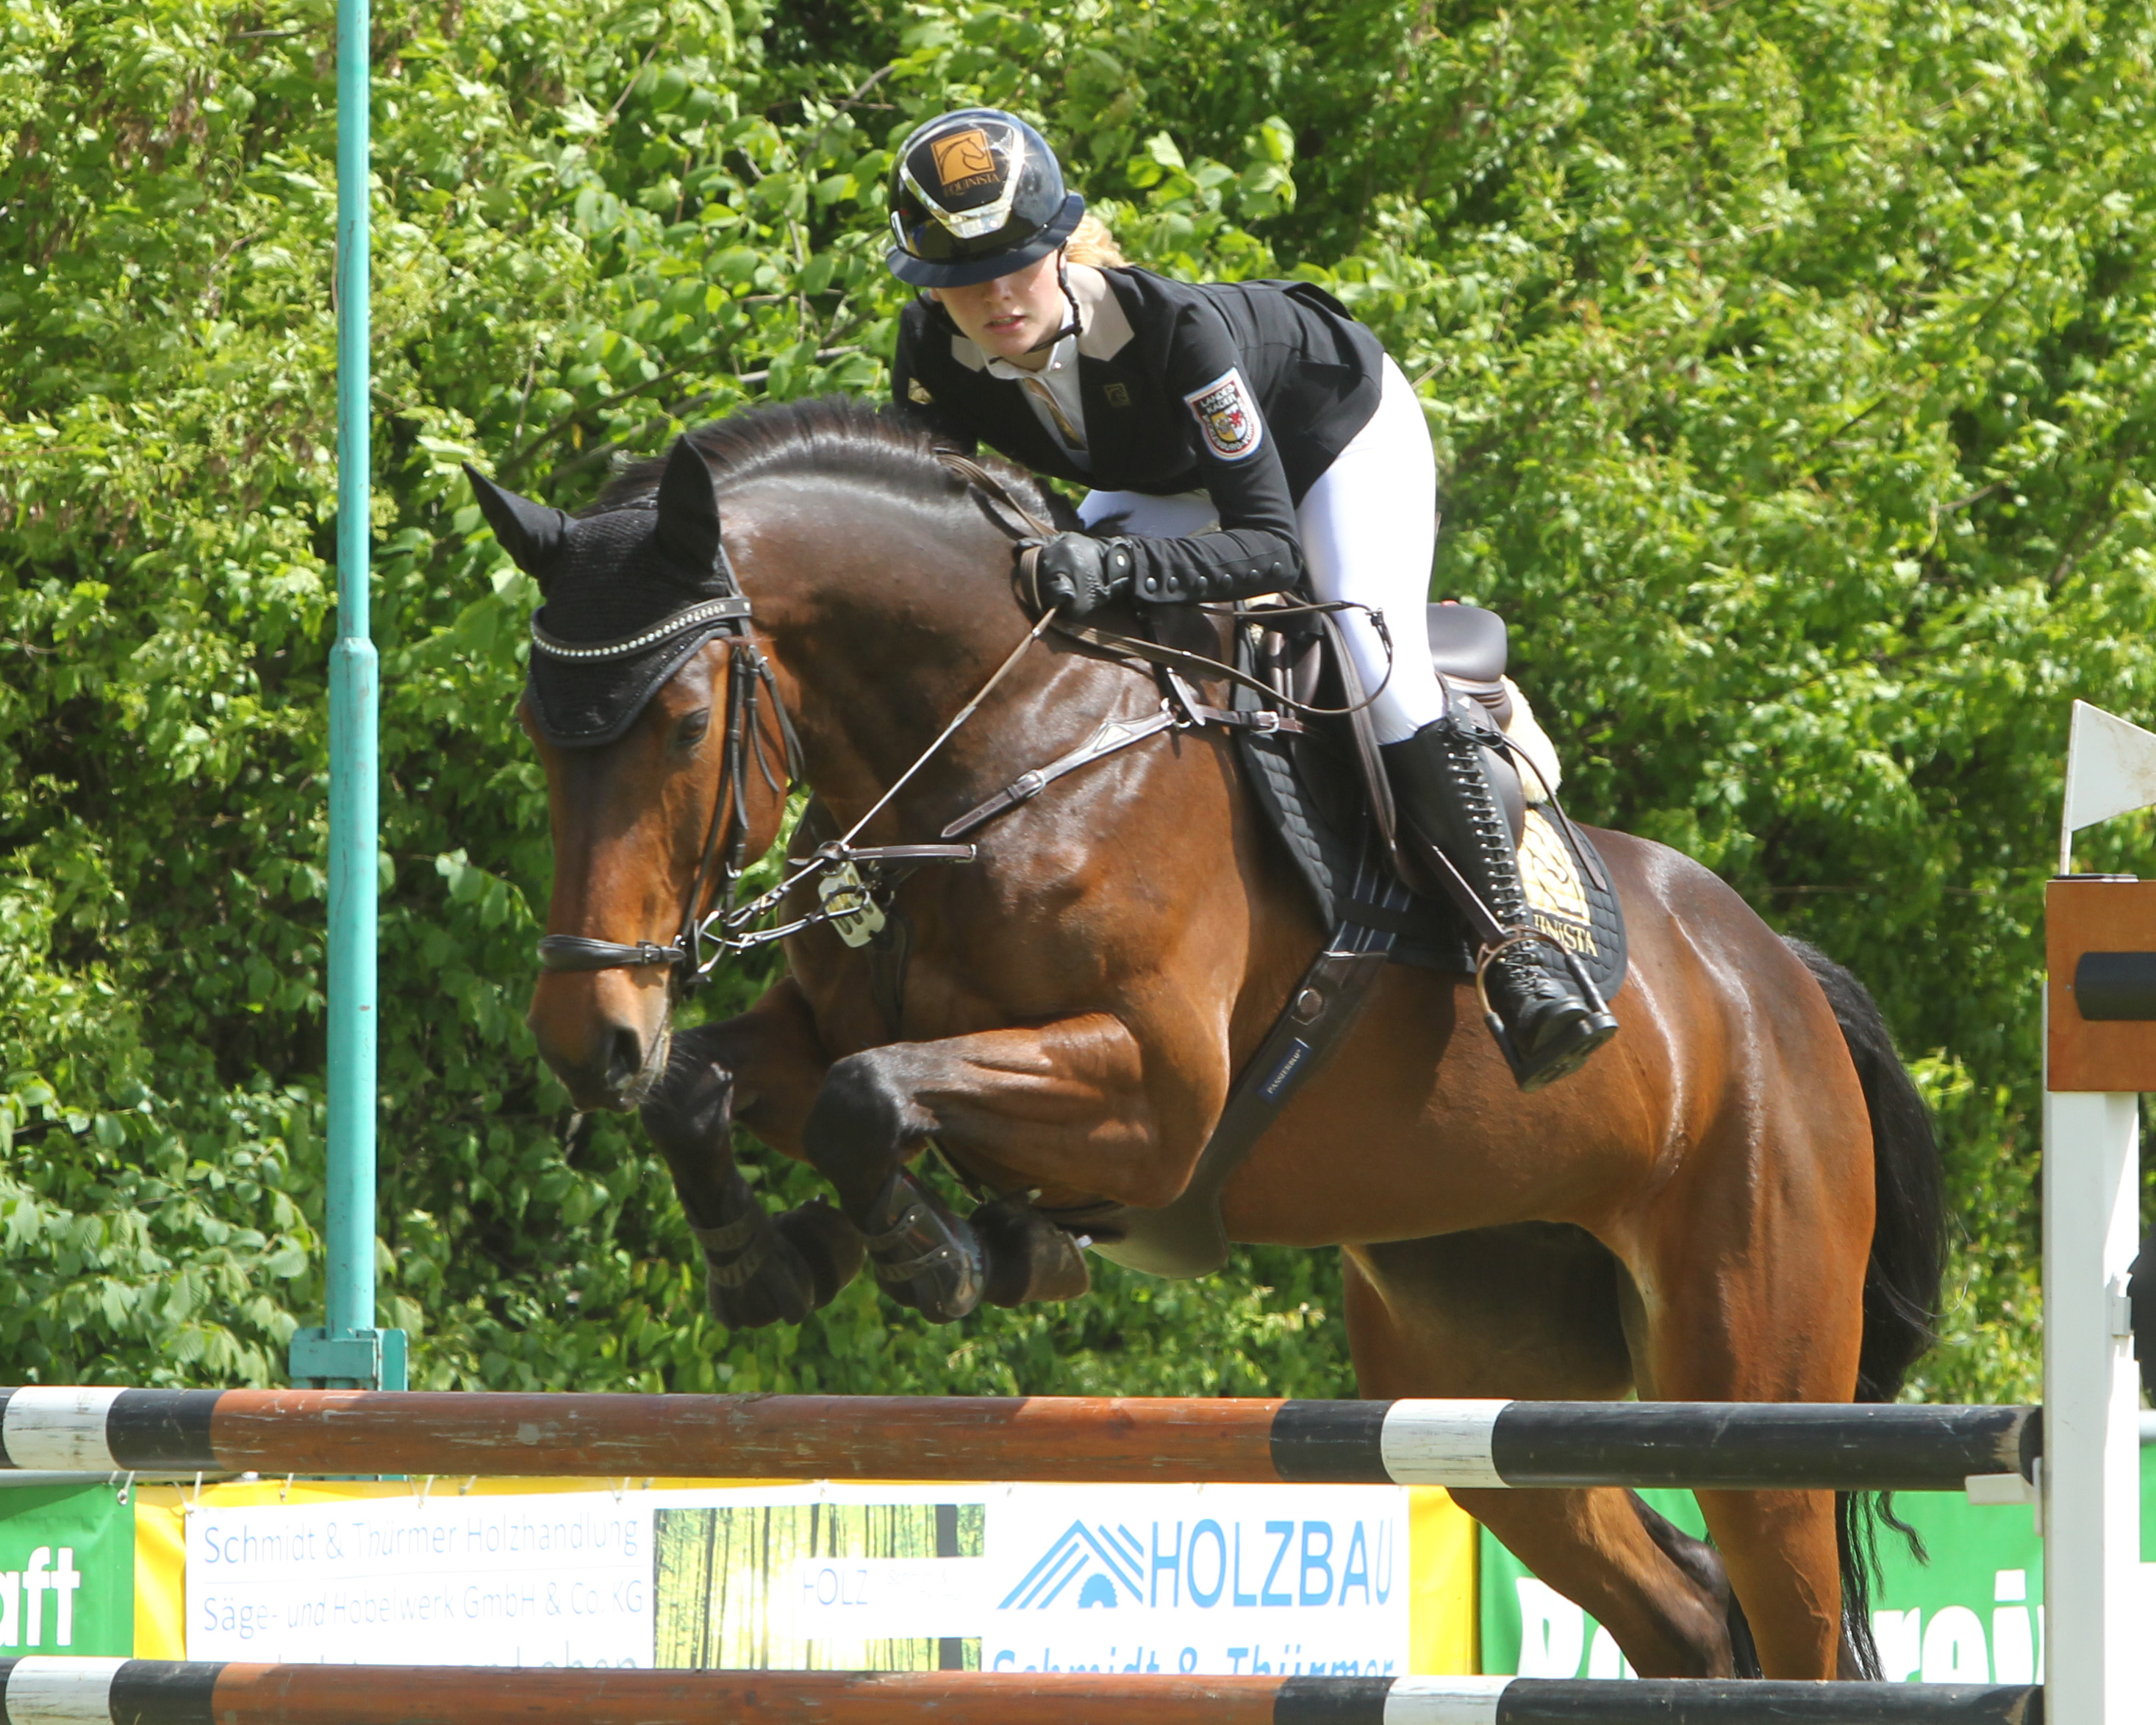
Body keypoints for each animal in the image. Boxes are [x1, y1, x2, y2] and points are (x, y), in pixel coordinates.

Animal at [476, 396, 1958, 1682]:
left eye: (681, 724)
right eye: (537, 731)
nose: (587, 1034)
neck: (1006, 748)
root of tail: (1777, 977)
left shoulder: (1151, 1096)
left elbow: (868, 1098)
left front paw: (949, 1255)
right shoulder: (823, 1033)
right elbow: (722, 1088)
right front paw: (775, 1260)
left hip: (1754, 1371)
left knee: (1794, 1616)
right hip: (1477, 1376)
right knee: (1684, 1611)